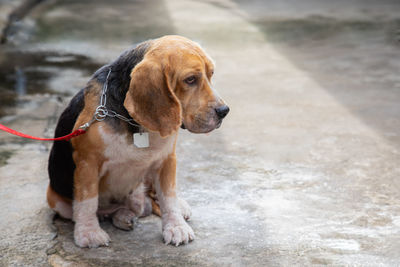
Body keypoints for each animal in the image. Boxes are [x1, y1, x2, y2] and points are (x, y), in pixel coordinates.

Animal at [45, 35, 230, 249]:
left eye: (211, 74)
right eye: (190, 79)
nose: (224, 111)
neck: (136, 124)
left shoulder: (167, 160)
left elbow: (169, 198)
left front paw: (175, 227)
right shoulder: (87, 163)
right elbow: (87, 200)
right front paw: (89, 233)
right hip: (55, 199)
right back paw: (124, 216)